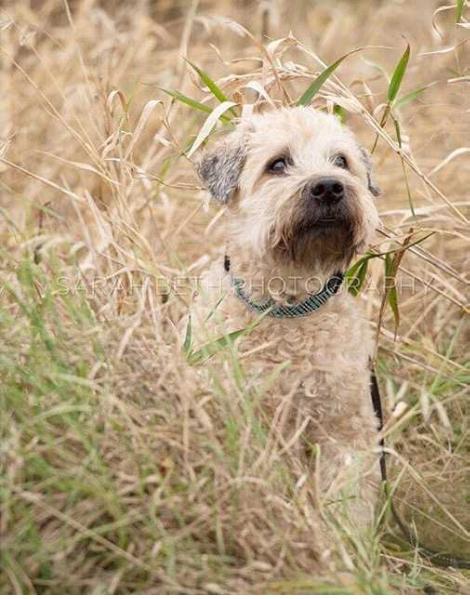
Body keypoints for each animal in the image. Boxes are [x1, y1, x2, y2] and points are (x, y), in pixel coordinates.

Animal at [190, 105, 382, 560]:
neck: (289, 308)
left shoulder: (346, 431)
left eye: (341, 161)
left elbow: (346, 500)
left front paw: (344, 555)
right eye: (278, 164)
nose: (329, 187)